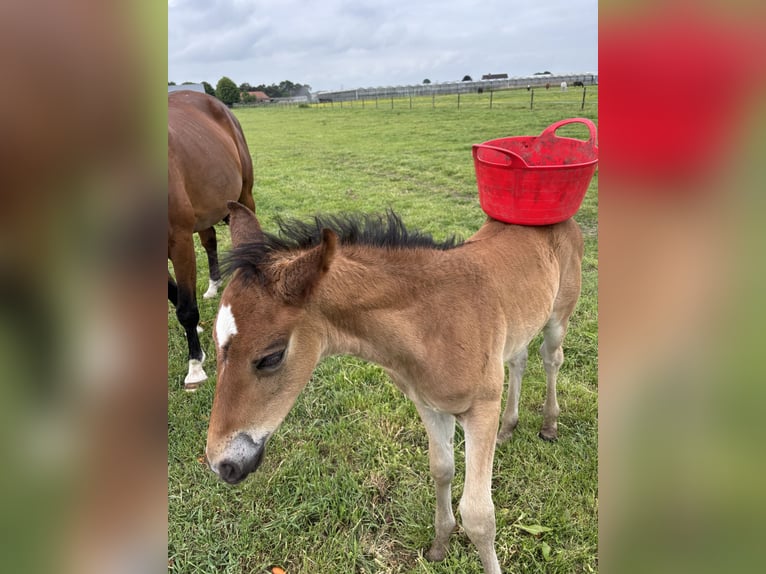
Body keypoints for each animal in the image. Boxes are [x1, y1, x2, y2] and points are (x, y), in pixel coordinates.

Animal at [168, 91, 255, 390]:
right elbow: (174, 295)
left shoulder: (179, 240)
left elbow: (185, 309)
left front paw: (195, 367)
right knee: (210, 242)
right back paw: (214, 284)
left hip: (245, 194)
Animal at [205, 203, 583, 573]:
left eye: (271, 357)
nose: (221, 464)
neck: (434, 324)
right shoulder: (429, 405)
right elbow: (441, 470)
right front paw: (439, 546)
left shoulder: (482, 409)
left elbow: (478, 515)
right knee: (519, 358)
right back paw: (509, 426)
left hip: (559, 316)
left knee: (551, 359)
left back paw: (549, 424)